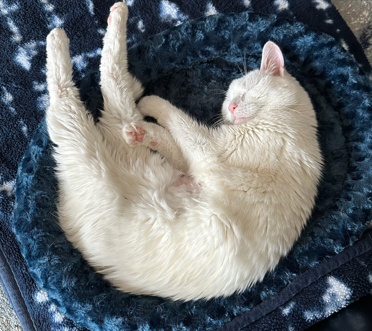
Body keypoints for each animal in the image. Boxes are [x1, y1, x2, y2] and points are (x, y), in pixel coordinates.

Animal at [45, 1, 322, 302]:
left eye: (246, 93)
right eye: (229, 99)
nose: (231, 108)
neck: (292, 121)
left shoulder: (209, 149)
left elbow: (176, 118)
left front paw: (151, 109)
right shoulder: (197, 158)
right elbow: (172, 136)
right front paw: (146, 131)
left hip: (83, 143)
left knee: (79, 90)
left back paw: (66, 35)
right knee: (112, 89)